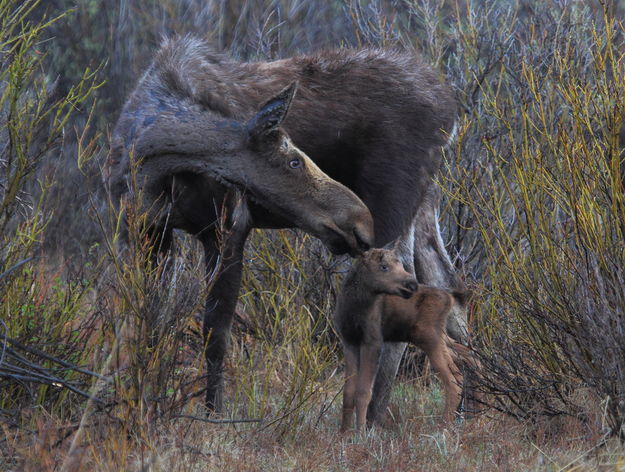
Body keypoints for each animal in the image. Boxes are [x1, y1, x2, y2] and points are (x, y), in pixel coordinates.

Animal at [334, 251, 470, 432]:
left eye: (401, 265)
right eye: (384, 266)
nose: (412, 284)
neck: (353, 309)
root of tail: (449, 299)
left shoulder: (373, 340)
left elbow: (363, 392)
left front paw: (360, 432)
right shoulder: (348, 341)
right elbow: (348, 392)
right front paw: (344, 432)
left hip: (428, 336)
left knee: (452, 379)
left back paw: (443, 426)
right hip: (436, 336)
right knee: (463, 364)